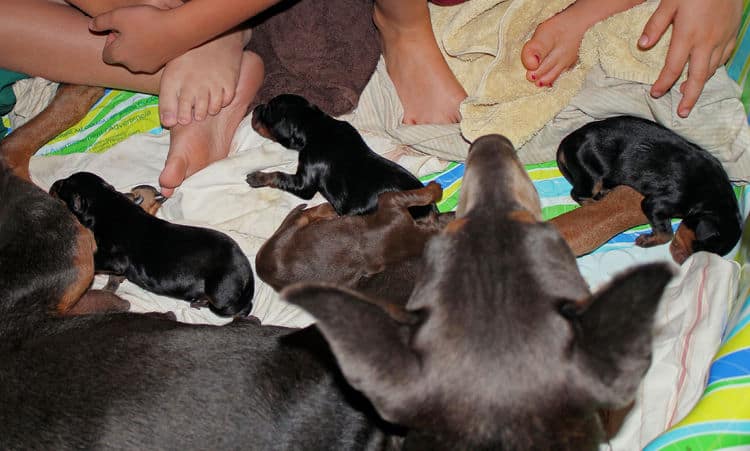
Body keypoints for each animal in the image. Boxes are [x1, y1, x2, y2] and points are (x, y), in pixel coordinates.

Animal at [50, 172, 256, 318]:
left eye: (62, 186)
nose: (54, 183)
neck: (107, 203)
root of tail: (248, 273)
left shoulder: (115, 258)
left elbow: (97, 261)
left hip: (219, 291)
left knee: (240, 308)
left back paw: (201, 302)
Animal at [247, 93, 434, 219]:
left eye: (268, 111)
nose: (254, 109)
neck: (316, 125)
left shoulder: (306, 178)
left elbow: (280, 175)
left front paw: (257, 177)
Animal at [556, 115, 744, 264]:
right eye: (699, 244)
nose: (682, 263)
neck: (712, 197)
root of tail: (566, 142)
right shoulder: (655, 203)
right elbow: (666, 233)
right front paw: (645, 240)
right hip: (591, 174)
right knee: (578, 193)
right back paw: (595, 201)